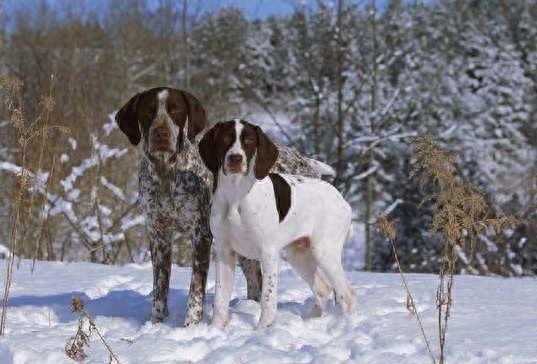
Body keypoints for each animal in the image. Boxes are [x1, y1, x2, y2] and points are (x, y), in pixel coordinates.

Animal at [115, 86, 328, 326]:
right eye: (148, 110)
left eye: (175, 110)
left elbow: (196, 290)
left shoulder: (201, 234)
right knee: (256, 282)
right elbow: (160, 287)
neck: (166, 173)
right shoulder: (158, 234)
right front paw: (155, 322)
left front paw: (191, 325)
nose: (161, 134)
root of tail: (306, 162)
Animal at [197, 119, 356, 330]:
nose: (235, 159)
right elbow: (220, 299)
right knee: (324, 288)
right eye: (225, 138)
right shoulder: (224, 252)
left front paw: (261, 330)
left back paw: (346, 324)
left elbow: (268, 298)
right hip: (298, 255)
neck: (236, 195)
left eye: (249, 140)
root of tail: (342, 199)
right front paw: (216, 329)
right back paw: (311, 322)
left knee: (348, 294)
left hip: (324, 251)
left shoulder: (268, 252)